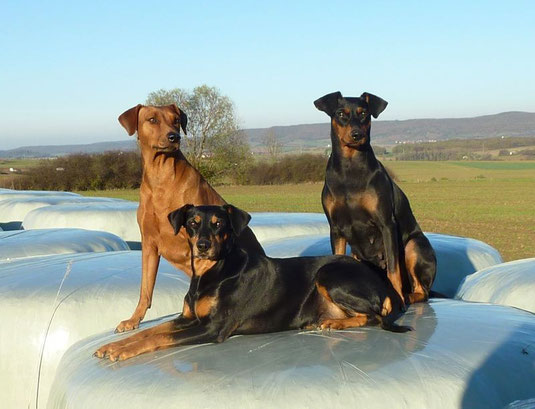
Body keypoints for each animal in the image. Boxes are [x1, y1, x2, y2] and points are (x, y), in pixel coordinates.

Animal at [95, 204, 410, 360]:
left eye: (219, 224)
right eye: (193, 223)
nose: (203, 246)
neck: (211, 272)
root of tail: (381, 283)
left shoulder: (213, 327)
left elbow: (159, 337)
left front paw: (121, 352)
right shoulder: (188, 318)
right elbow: (151, 331)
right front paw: (114, 345)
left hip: (329, 274)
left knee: (374, 315)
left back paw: (333, 322)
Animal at [115, 104, 264, 332]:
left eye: (176, 120)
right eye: (152, 119)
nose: (174, 136)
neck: (160, 177)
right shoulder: (149, 244)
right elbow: (145, 289)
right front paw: (134, 319)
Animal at [316, 91, 438, 302]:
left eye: (364, 113)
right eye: (341, 114)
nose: (357, 134)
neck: (350, 167)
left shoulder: (386, 223)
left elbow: (393, 270)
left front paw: (397, 298)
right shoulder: (336, 229)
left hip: (413, 246)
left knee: (422, 291)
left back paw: (407, 296)